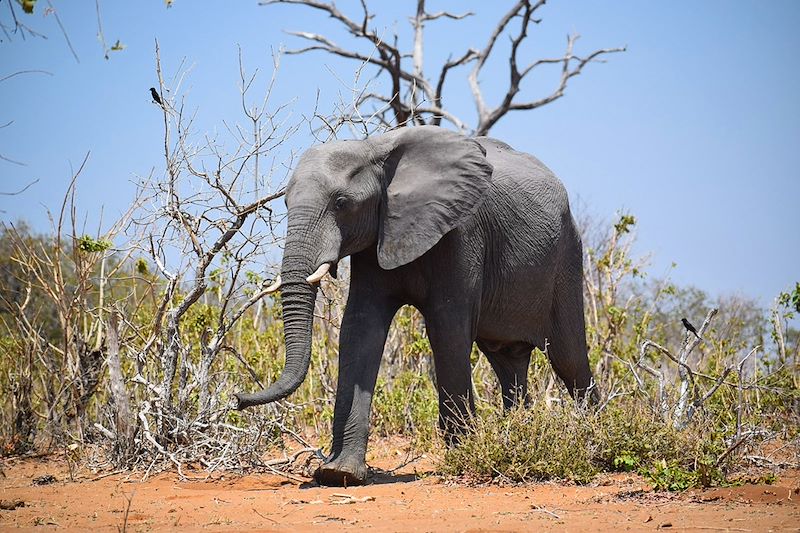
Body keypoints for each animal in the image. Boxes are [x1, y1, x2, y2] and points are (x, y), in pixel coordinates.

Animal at [233, 125, 592, 486]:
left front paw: (462, 456)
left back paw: (592, 437)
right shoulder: (375, 238)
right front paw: (340, 474)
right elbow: (360, 330)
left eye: (341, 203)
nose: (237, 399)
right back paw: (520, 436)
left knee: (570, 359)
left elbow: (447, 330)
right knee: (507, 359)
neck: (375, 150)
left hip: (567, 255)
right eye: (285, 202)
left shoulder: (460, 232)